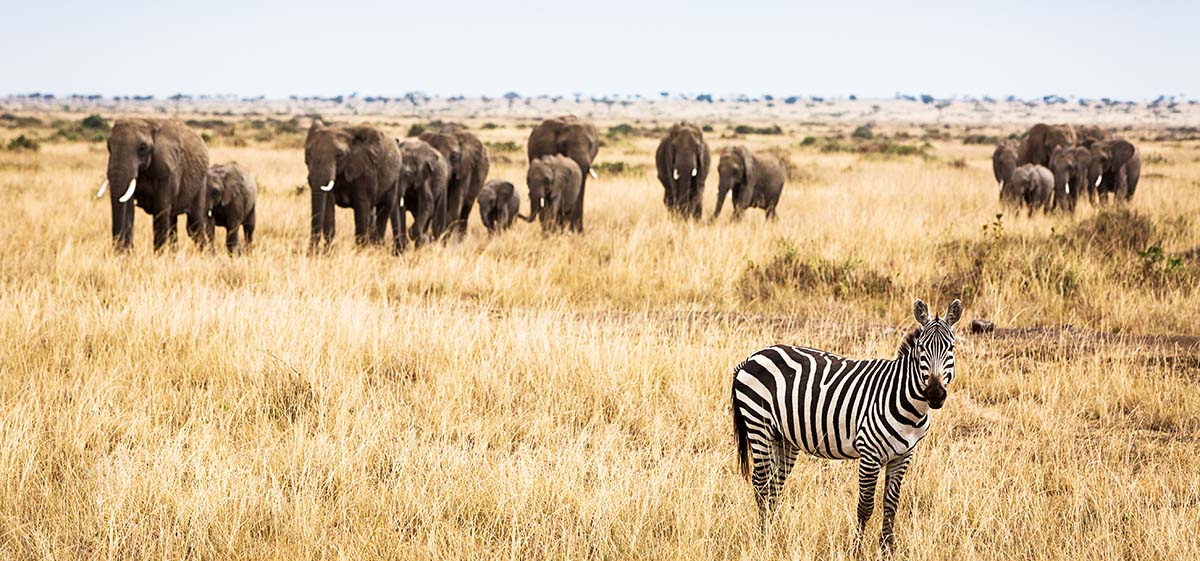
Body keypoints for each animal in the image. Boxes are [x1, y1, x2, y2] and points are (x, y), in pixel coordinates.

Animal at [99, 118, 212, 249]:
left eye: (143, 147)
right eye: (108, 146)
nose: (118, 249)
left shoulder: (168, 171)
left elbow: (160, 211)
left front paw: (159, 254)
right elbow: (129, 209)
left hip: (201, 183)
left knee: (194, 225)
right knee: (174, 222)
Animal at [304, 122, 403, 254]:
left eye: (339, 155)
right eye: (308, 154)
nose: (311, 252)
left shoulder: (365, 170)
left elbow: (361, 208)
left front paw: (359, 253)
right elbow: (329, 208)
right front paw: (328, 253)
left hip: (394, 178)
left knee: (385, 208)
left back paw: (376, 249)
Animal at [724, 298, 960, 551]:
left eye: (951, 348)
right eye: (921, 349)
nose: (935, 394)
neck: (907, 402)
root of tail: (752, 357)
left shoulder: (903, 455)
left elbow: (891, 505)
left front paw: (887, 548)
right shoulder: (870, 452)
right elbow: (865, 506)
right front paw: (857, 549)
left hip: (782, 437)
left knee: (774, 485)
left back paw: (776, 532)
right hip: (759, 425)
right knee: (761, 484)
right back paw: (763, 538)